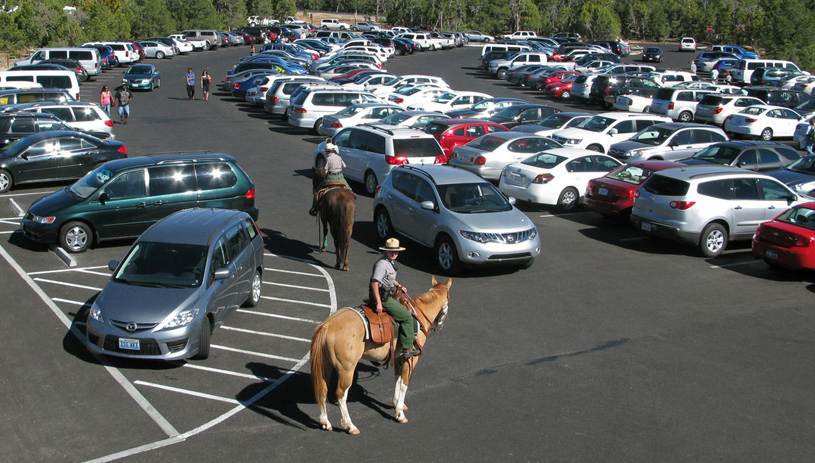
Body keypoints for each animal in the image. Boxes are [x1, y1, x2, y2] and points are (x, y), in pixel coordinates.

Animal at [310, 280, 452, 436]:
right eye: (449, 299)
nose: (439, 325)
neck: (418, 314)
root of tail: (326, 326)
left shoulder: (399, 358)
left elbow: (397, 379)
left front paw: (397, 403)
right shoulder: (411, 359)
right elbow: (404, 383)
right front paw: (400, 413)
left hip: (325, 365)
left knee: (322, 389)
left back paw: (325, 422)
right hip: (346, 369)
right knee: (341, 394)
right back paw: (349, 425)